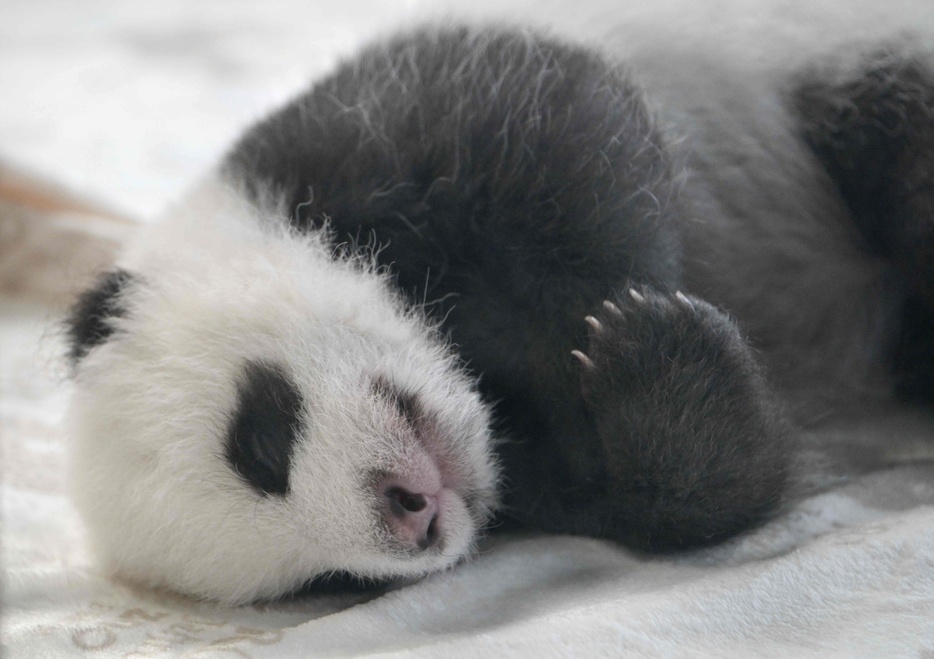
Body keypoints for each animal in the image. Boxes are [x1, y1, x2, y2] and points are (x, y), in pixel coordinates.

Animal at [64, 23, 934, 604]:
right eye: (327, 582)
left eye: (261, 439)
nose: (411, 514)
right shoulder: (536, 479)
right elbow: (689, 496)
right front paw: (662, 376)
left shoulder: (358, 128)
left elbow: (570, 132)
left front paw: (615, 318)